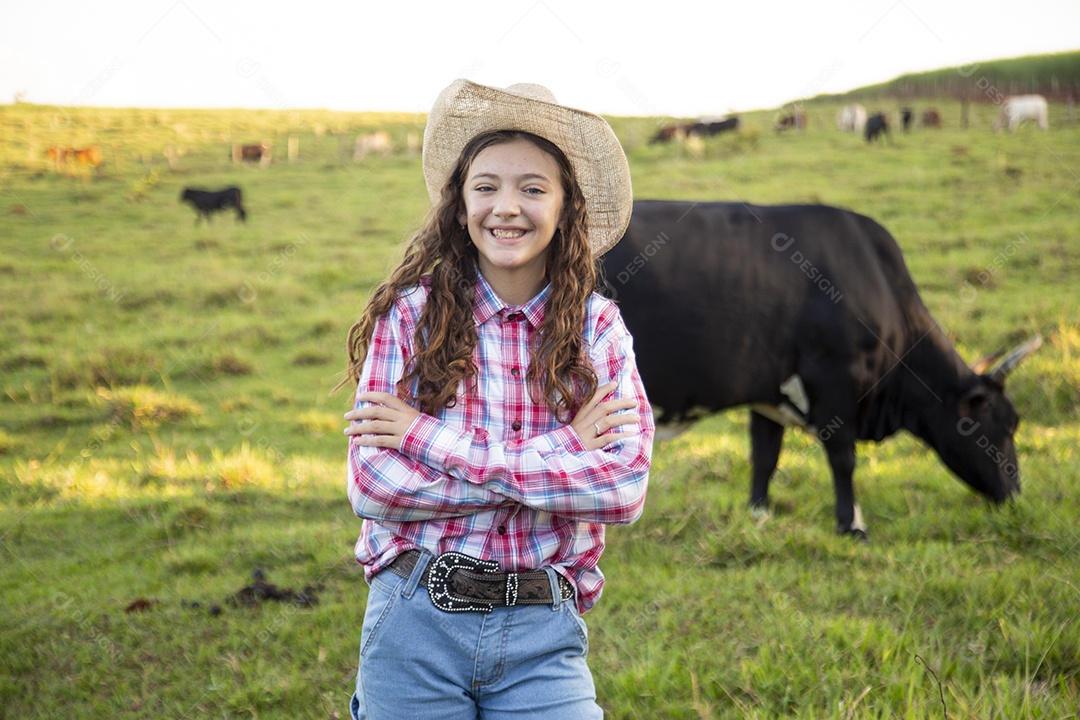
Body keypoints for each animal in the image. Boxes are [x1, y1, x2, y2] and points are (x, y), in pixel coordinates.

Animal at [604, 199, 1041, 537]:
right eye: (1005, 425)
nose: (1016, 495)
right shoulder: (835, 380)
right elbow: (843, 459)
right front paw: (852, 526)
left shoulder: (768, 393)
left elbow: (766, 455)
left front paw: (759, 514)